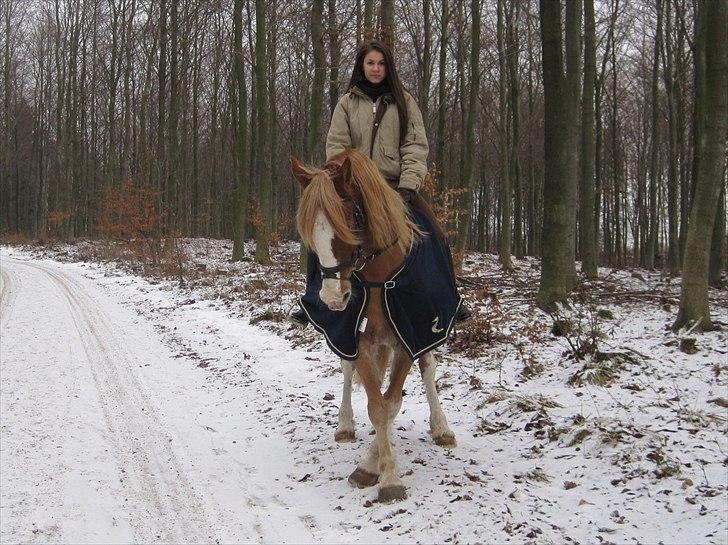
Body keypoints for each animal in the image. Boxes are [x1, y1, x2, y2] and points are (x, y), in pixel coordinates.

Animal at [292, 149, 456, 502]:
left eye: (352, 218)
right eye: (309, 229)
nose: (333, 297)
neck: (380, 279)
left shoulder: (409, 337)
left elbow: (390, 404)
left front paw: (383, 473)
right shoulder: (360, 341)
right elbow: (376, 405)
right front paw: (375, 470)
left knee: (428, 367)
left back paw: (441, 427)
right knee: (348, 370)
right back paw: (345, 425)